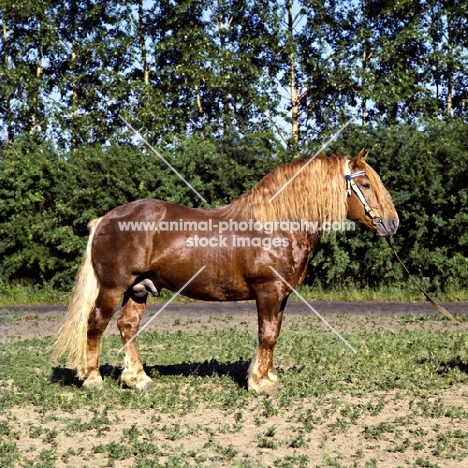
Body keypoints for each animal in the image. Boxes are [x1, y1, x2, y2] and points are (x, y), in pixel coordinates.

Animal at [54, 150, 398, 394]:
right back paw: (93, 379)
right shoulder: (268, 290)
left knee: (128, 327)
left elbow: (273, 334)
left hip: (139, 289)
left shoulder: (281, 295)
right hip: (114, 288)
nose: (392, 223)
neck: (278, 225)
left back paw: (138, 379)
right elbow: (267, 334)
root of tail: (106, 219)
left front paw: (267, 375)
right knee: (95, 324)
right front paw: (260, 383)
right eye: (365, 183)